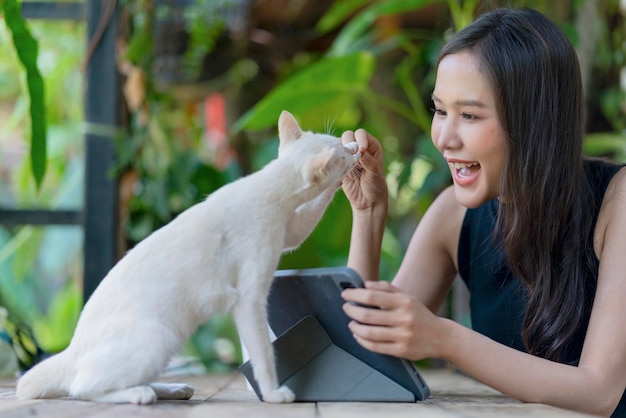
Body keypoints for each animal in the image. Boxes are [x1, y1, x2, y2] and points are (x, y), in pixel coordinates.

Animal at [14, 111, 358, 404]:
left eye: (339, 142)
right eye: (341, 153)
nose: (353, 147)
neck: (267, 187)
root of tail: (71, 349)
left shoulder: (291, 233)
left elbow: (309, 217)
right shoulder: (249, 297)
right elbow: (263, 353)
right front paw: (273, 393)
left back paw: (172, 388)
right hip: (158, 338)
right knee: (83, 387)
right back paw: (139, 394)